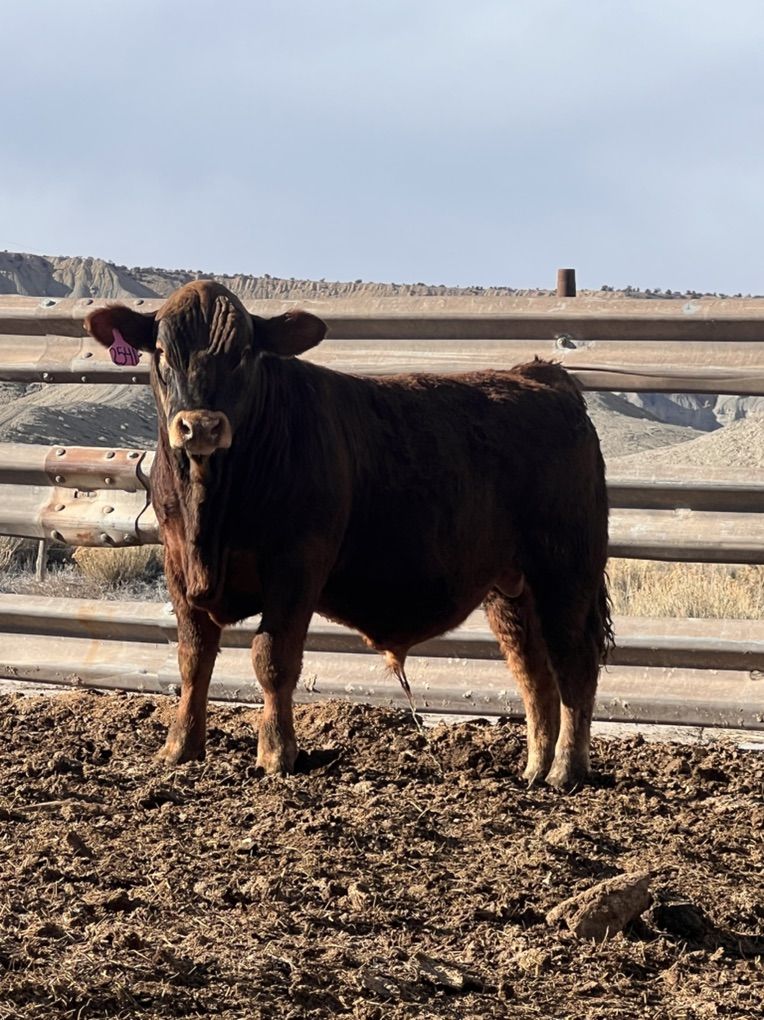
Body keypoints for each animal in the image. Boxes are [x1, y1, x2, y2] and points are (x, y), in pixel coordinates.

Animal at [85, 281, 612, 789]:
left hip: (566, 572)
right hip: (510, 590)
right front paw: (179, 747)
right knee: (533, 672)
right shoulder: (177, 563)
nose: (201, 426)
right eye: (161, 350)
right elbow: (194, 657)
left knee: (574, 664)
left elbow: (272, 658)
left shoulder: (296, 565)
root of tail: (539, 377)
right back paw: (534, 770)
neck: (211, 508)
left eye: (244, 351)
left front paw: (276, 753)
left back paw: (566, 770)